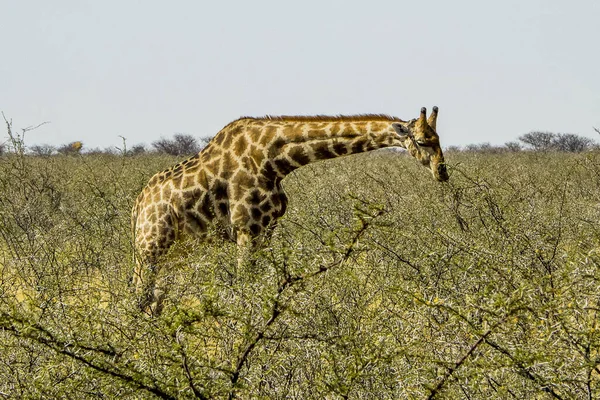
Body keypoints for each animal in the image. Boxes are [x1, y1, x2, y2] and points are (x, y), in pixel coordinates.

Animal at [134, 107, 448, 316]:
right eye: (422, 141)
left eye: (439, 139)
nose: (442, 172)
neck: (274, 159)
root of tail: (137, 206)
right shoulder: (247, 229)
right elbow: (244, 284)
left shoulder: (266, 229)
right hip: (150, 246)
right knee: (140, 295)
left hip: (175, 252)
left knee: (155, 300)